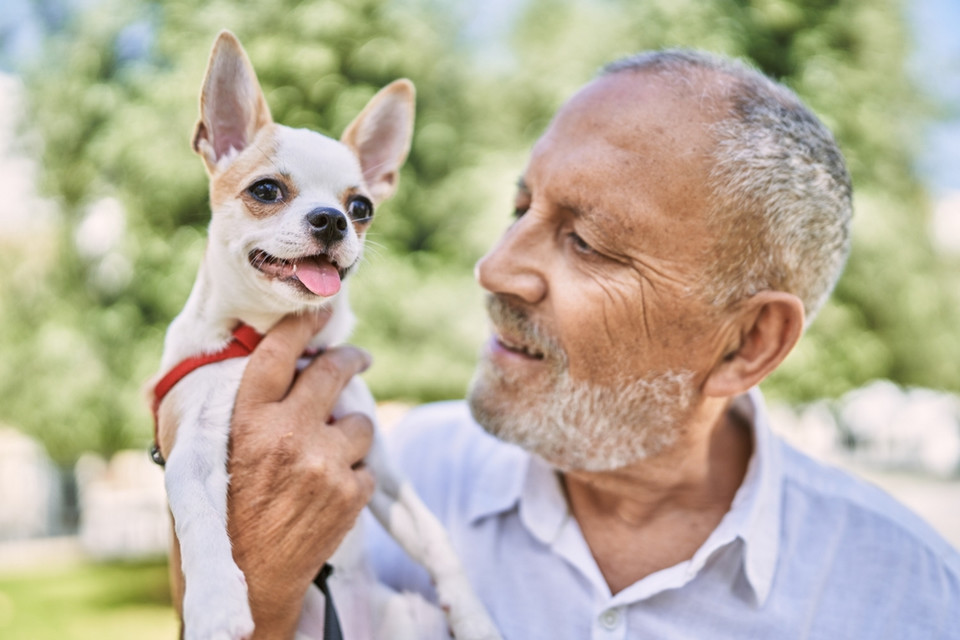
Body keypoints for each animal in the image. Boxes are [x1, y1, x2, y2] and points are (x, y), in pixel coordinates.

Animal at [154, 31, 498, 640]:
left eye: (360, 207)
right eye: (267, 190)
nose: (332, 219)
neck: (268, 338)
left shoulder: (382, 470)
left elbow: (436, 538)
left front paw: (475, 615)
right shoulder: (189, 444)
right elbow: (200, 517)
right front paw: (216, 604)